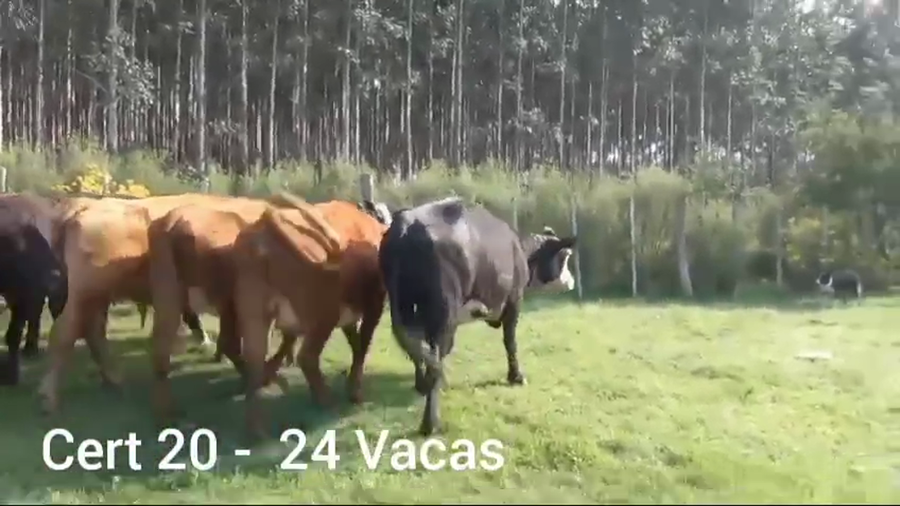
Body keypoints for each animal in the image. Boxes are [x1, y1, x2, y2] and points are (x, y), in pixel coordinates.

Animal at [378, 197, 577, 436]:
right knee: (434, 355)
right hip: (443, 312)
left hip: (404, 305)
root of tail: (407, 223)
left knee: (416, 347)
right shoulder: (513, 301)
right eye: (564, 256)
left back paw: (423, 386)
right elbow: (510, 341)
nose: (571, 281)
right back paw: (431, 422)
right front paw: (516, 376)